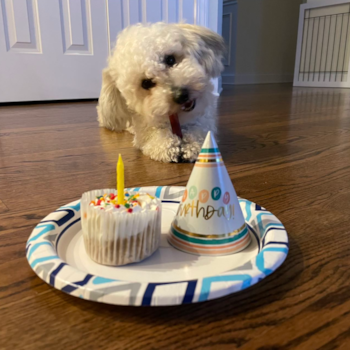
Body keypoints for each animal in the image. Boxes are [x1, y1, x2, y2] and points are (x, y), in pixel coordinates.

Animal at [98, 22, 224, 162]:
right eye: (146, 83)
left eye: (170, 59)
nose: (181, 95)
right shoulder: (144, 128)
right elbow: (154, 133)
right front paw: (166, 144)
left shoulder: (205, 118)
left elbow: (200, 128)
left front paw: (195, 144)